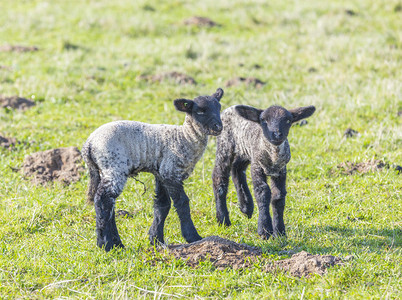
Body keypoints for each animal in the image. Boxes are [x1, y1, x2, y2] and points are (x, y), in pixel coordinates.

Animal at [82, 88, 225, 251]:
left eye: (219, 108)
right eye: (200, 111)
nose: (218, 127)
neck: (184, 137)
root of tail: (89, 144)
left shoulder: (161, 173)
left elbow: (162, 205)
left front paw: (156, 239)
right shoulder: (170, 171)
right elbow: (182, 203)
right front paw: (193, 237)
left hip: (104, 170)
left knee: (109, 204)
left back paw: (117, 244)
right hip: (114, 166)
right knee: (102, 200)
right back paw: (106, 245)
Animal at [212, 104, 316, 240]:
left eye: (288, 120)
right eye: (263, 120)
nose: (277, 134)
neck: (273, 155)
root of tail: (229, 108)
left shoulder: (281, 171)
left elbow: (278, 197)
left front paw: (280, 232)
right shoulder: (257, 166)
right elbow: (263, 192)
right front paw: (265, 230)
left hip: (244, 150)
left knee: (237, 168)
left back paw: (246, 207)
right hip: (225, 145)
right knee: (219, 177)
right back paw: (223, 220)